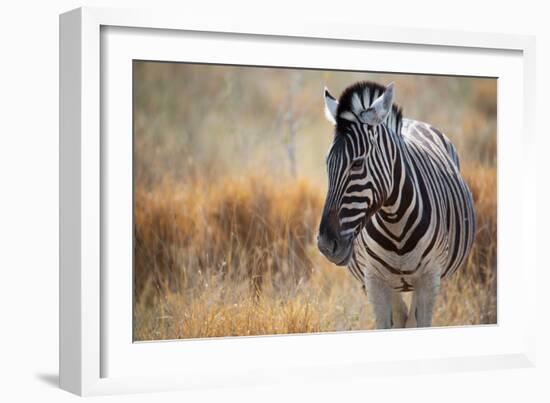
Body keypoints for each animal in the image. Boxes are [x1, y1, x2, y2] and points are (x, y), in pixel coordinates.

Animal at [316, 81, 476, 328]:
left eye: (357, 164)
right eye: (327, 163)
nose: (325, 244)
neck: (395, 222)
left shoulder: (429, 278)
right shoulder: (374, 281)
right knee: (401, 315)